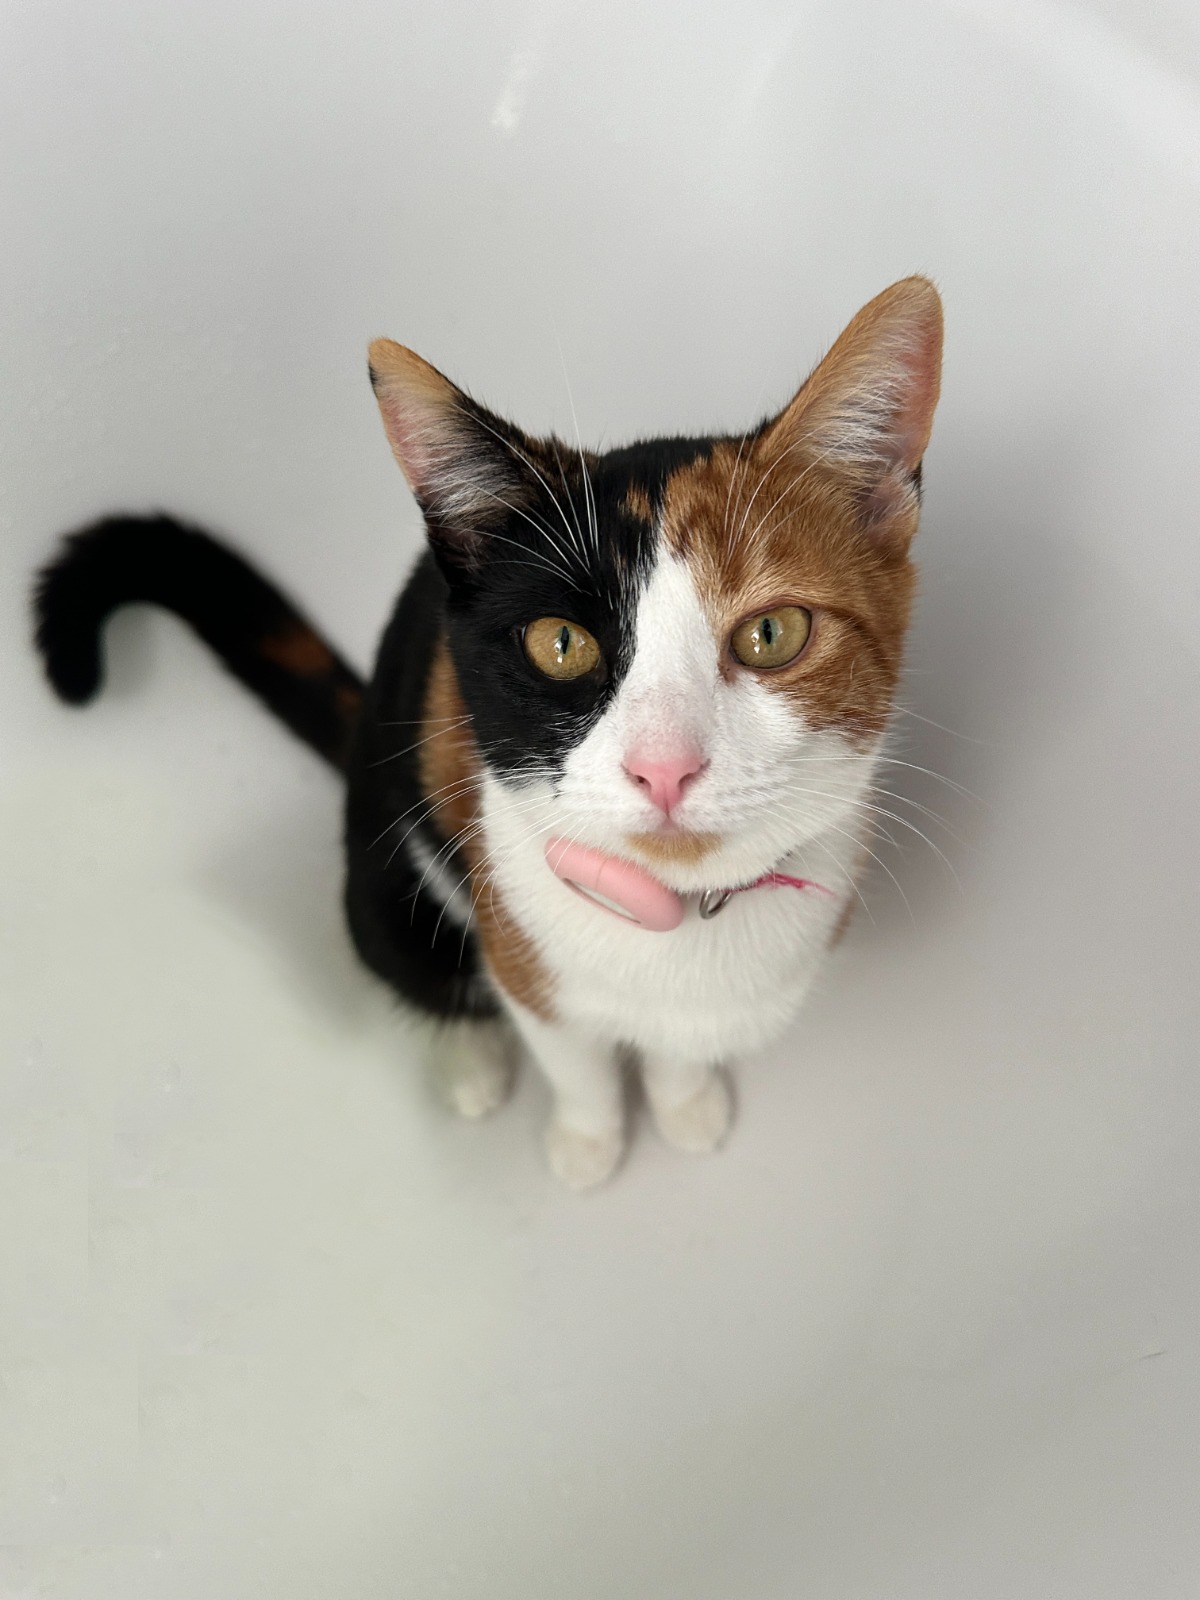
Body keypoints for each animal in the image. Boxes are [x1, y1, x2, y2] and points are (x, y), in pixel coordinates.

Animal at [34, 276, 943, 1190]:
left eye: (772, 633)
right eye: (560, 643)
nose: (664, 768)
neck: (675, 920)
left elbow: (680, 1051)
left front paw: (686, 1103)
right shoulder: (520, 941)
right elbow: (571, 1058)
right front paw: (588, 1143)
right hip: (385, 883)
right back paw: (468, 1061)